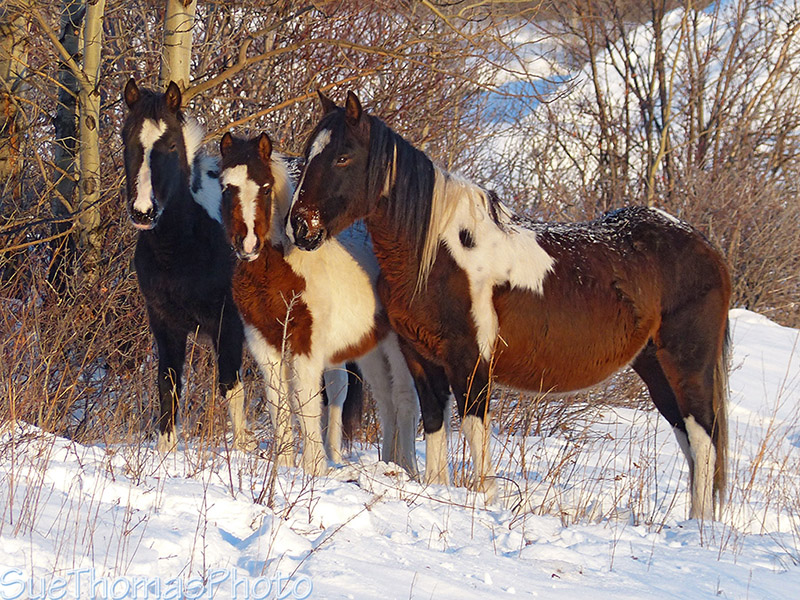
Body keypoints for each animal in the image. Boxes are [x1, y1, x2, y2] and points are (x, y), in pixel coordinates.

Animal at [121, 79, 252, 452]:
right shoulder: (165, 324)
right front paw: (166, 451)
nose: (143, 211)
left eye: (170, 145)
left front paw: (244, 450)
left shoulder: (228, 325)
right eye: (126, 139)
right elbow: (168, 385)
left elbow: (231, 388)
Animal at [218, 131, 451, 476]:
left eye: (265, 187)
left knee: (405, 398)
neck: (283, 271)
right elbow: (279, 405)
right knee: (386, 400)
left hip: (398, 348)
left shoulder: (306, 345)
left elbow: (308, 402)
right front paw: (285, 465)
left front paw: (313, 468)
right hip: (369, 350)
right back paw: (388, 461)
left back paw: (407, 466)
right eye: (225, 186)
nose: (247, 244)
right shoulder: (265, 344)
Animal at [288, 91, 732, 520]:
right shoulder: (421, 358)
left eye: (343, 156)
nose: (300, 226)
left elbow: (473, 430)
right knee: (688, 436)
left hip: (687, 364)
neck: (438, 256)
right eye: (309, 153)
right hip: (653, 365)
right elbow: (433, 425)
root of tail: (706, 247)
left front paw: (486, 498)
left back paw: (699, 525)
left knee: (703, 437)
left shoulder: (470, 362)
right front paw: (437, 489)